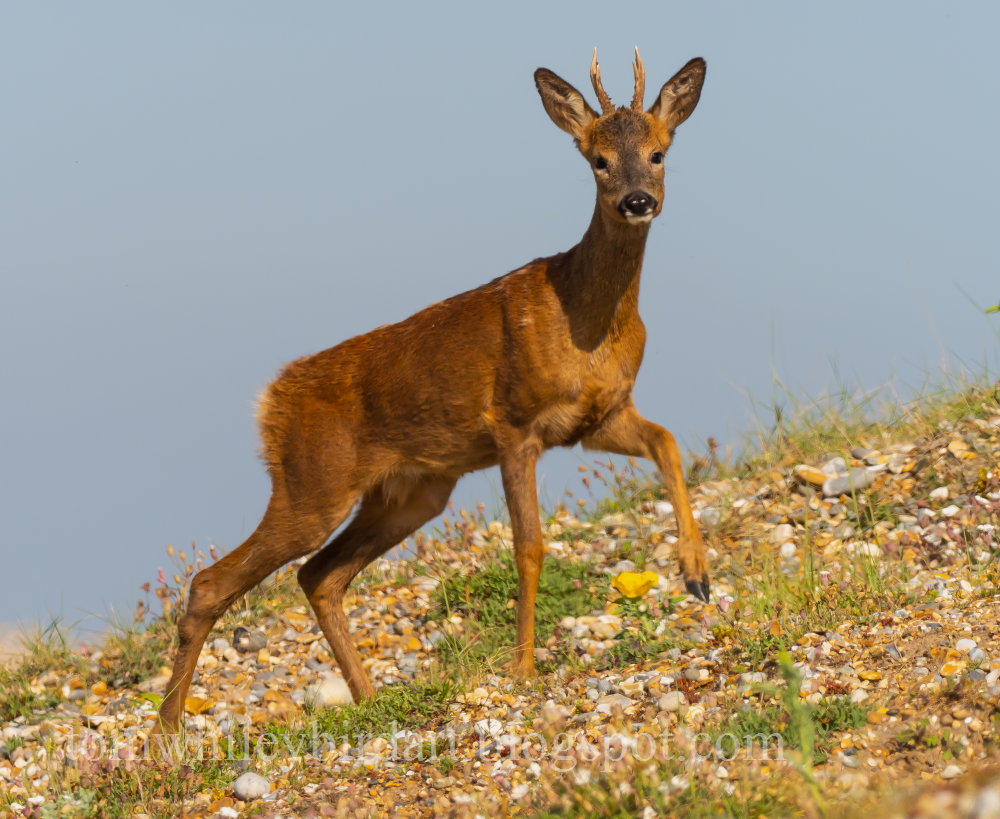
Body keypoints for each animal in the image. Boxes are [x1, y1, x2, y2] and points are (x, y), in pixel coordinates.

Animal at [156, 49, 708, 732]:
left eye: (659, 151)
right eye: (597, 159)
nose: (637, 200)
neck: (587, 319)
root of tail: (270, 401)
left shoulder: (599, 418)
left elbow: (668, 441)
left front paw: (697, 574)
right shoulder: (514, 424)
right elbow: (529, 546)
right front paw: (523, 668)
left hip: (410, 493)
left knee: (319, 576)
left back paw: (369, 698)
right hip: (313, 483)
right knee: (214, 581)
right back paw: (165, 734)